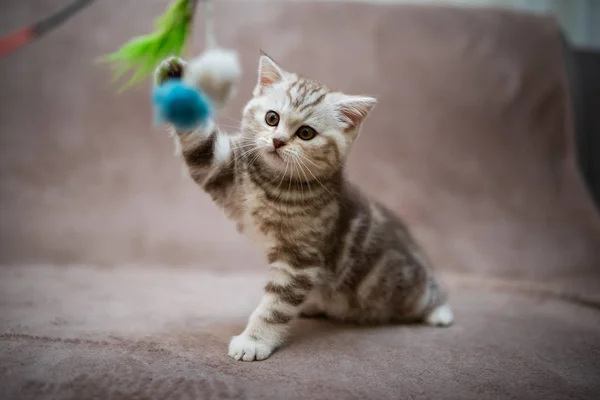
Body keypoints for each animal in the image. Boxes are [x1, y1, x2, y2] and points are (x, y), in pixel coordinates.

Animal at [156, 54, 454, 362]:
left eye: (306, 133)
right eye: (272, 118)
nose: (277, 141)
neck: (272, 184)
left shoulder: (299, 259)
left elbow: (275, 306)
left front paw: (254, 340)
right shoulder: (221, 168)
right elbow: (201, 146)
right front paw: (175, 78)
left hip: (400, 288)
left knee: (429, 292)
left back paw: (440, 312)